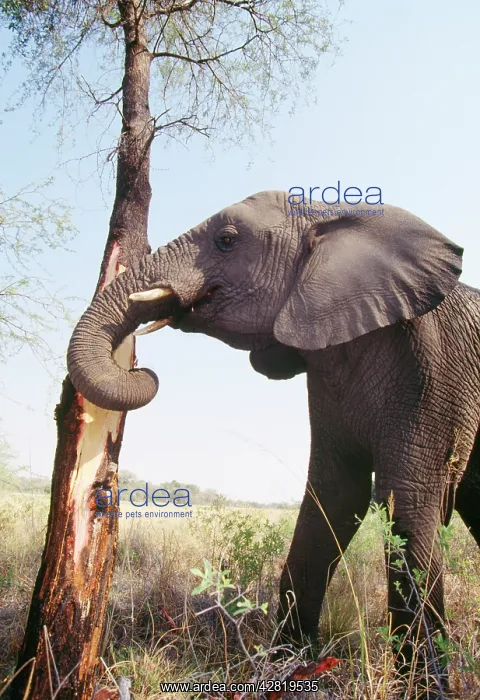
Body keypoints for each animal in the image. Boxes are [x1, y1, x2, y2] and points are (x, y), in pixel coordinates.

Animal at [67, 191, 480, 687]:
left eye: (226, 240)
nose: (141, 367)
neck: (331, 220)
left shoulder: (432, 370)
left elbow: (407, 505)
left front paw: (422, 686)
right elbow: (334, 497)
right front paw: (292, 662)